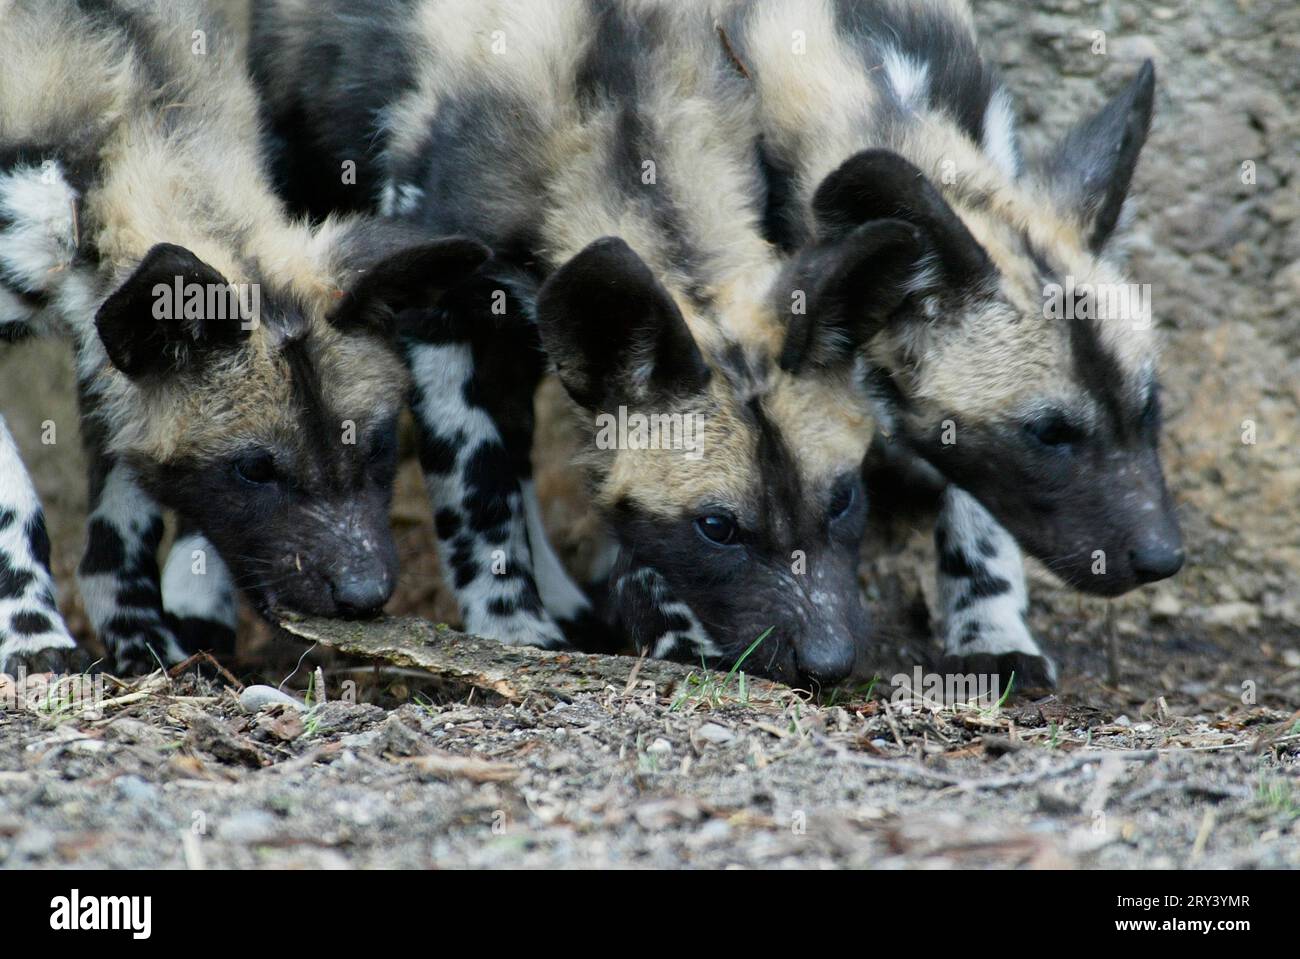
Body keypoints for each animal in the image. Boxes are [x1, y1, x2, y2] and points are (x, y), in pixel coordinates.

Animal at [0, 0, 486, 670]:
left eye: (377, 445)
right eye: (254, 469)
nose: (364, 594)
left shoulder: (107, 362)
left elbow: (123, 534)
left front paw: (147, 648)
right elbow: (18, 510)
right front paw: (36, 641)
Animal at [248, 0, 889, 686]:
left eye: (843, 499)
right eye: (717, 527)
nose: (829, 662)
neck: (619, 119)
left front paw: (669, 631)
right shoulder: (436, 318)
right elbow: (478, 492)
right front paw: (514, 633)